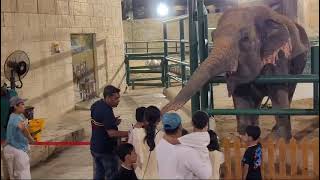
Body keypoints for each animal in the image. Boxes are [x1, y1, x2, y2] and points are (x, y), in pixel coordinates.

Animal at [162, 5, 310, 141]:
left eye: (245, 39)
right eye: (212, 37)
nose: (165, 109)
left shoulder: (280, 55)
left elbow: (277, 90)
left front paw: (279, 141)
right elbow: (240, 92)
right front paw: (244, 138)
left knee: (289, 90)